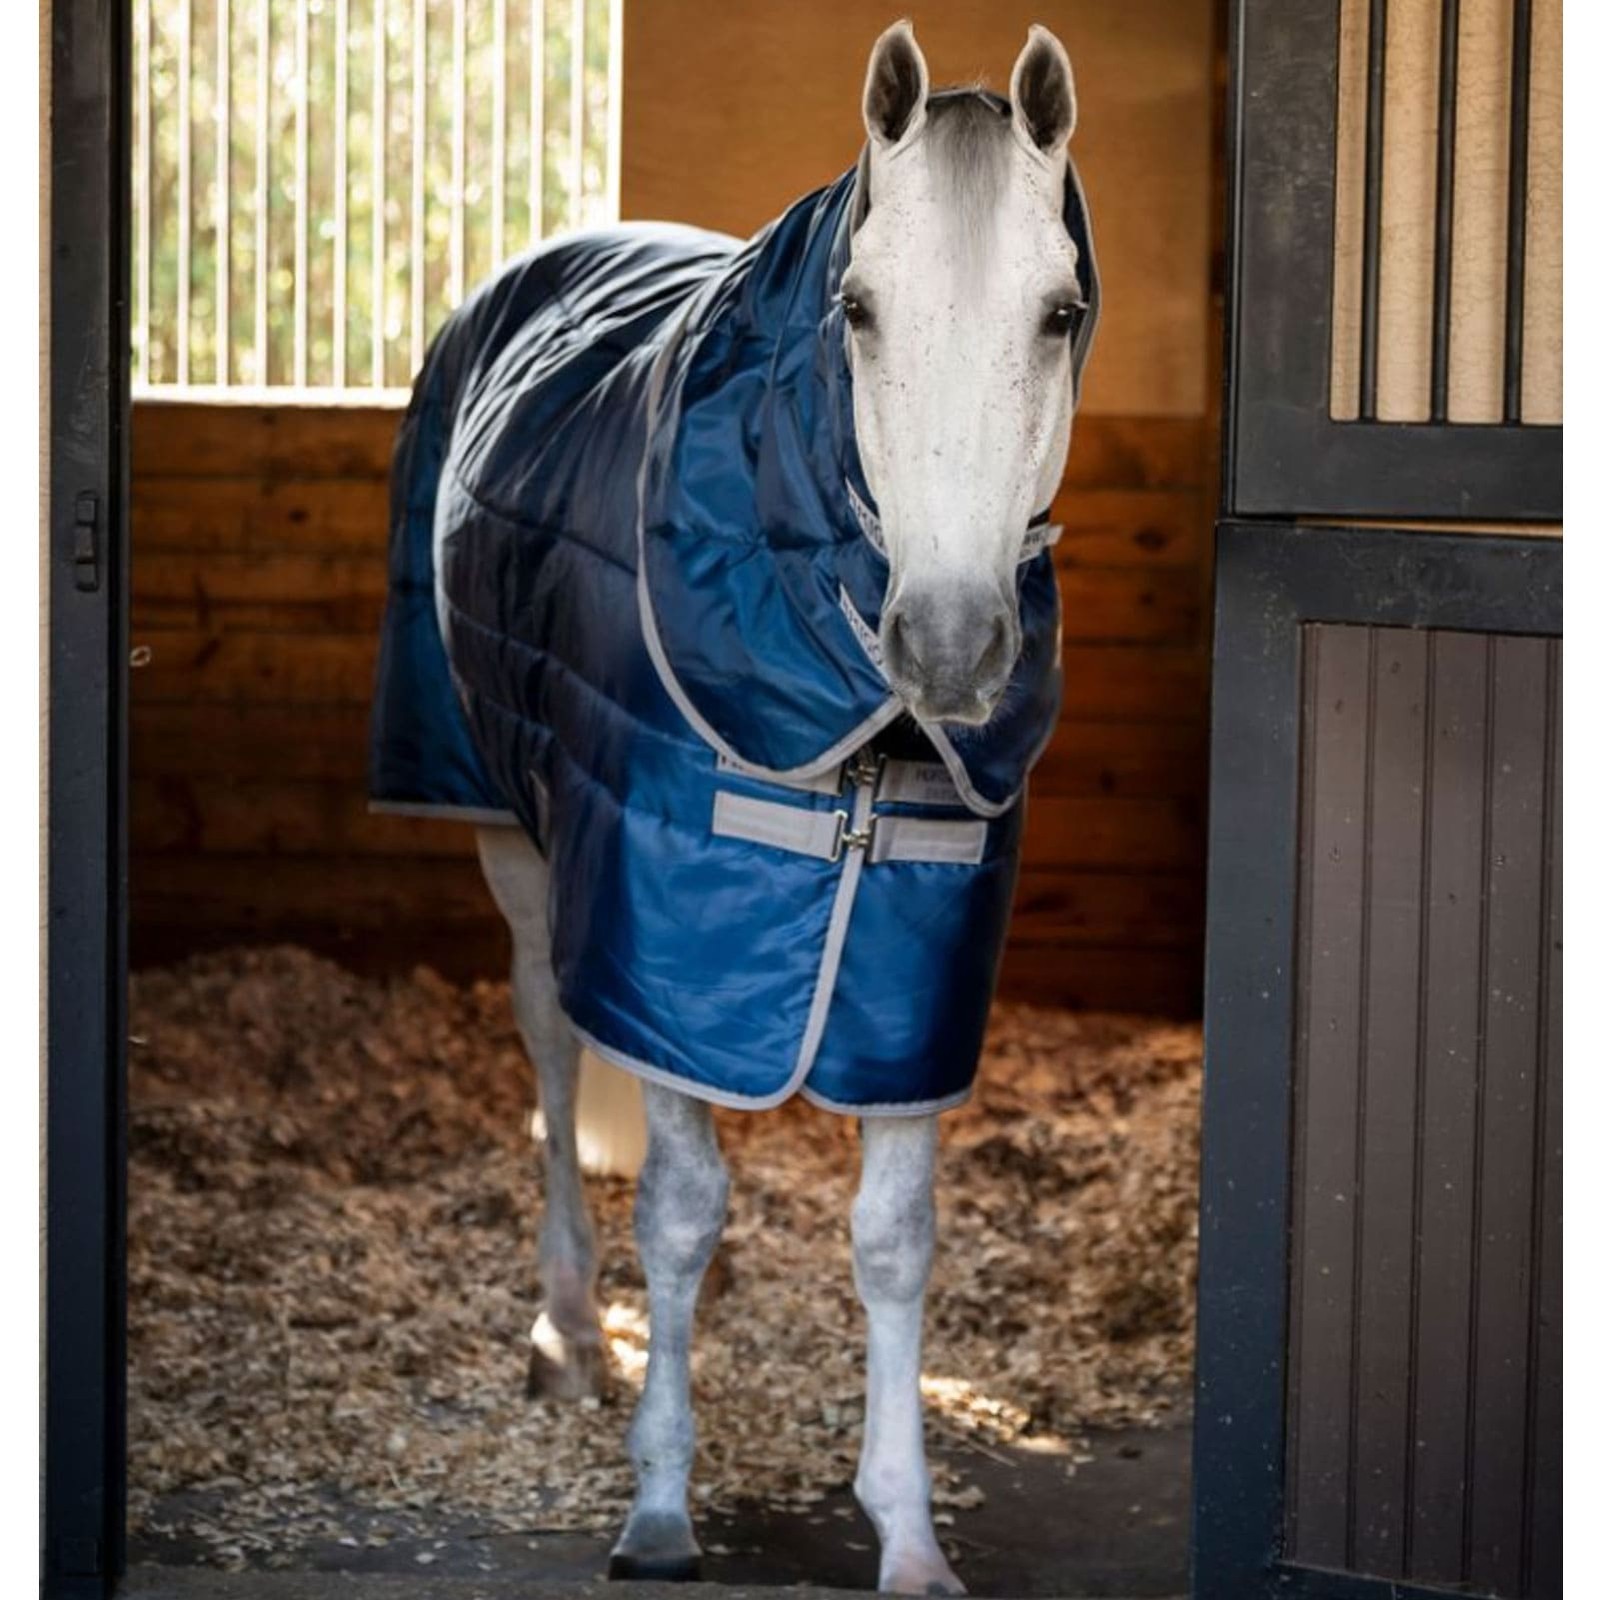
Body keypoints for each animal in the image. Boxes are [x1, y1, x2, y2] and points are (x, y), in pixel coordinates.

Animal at [370, 20, 1097, 1595]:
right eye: (859, 309)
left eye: (1060, 312)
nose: (950, 645)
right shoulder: (659, 929)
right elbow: (681, 1205)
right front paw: (659, 1504)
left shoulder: (912, 977)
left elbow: (894, 1237)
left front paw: (907, 1528)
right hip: (515, 836)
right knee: (553, 1051)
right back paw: (573, 1332)